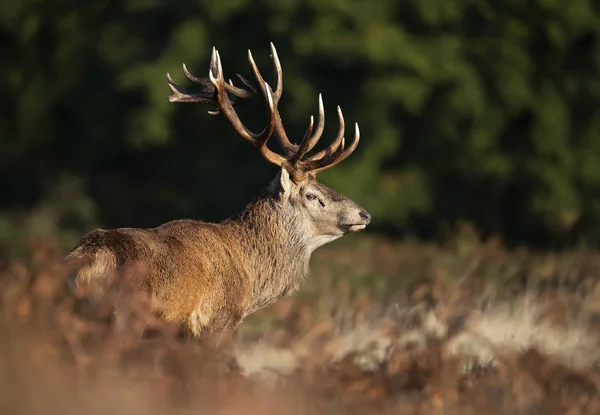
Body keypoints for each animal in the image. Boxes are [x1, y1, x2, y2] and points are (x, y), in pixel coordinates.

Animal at [63, 43, 368, 342]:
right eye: (312, 196)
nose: (364, 214)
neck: (251, 278)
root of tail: (88, 261)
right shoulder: (217, 321)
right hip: (125, 318)